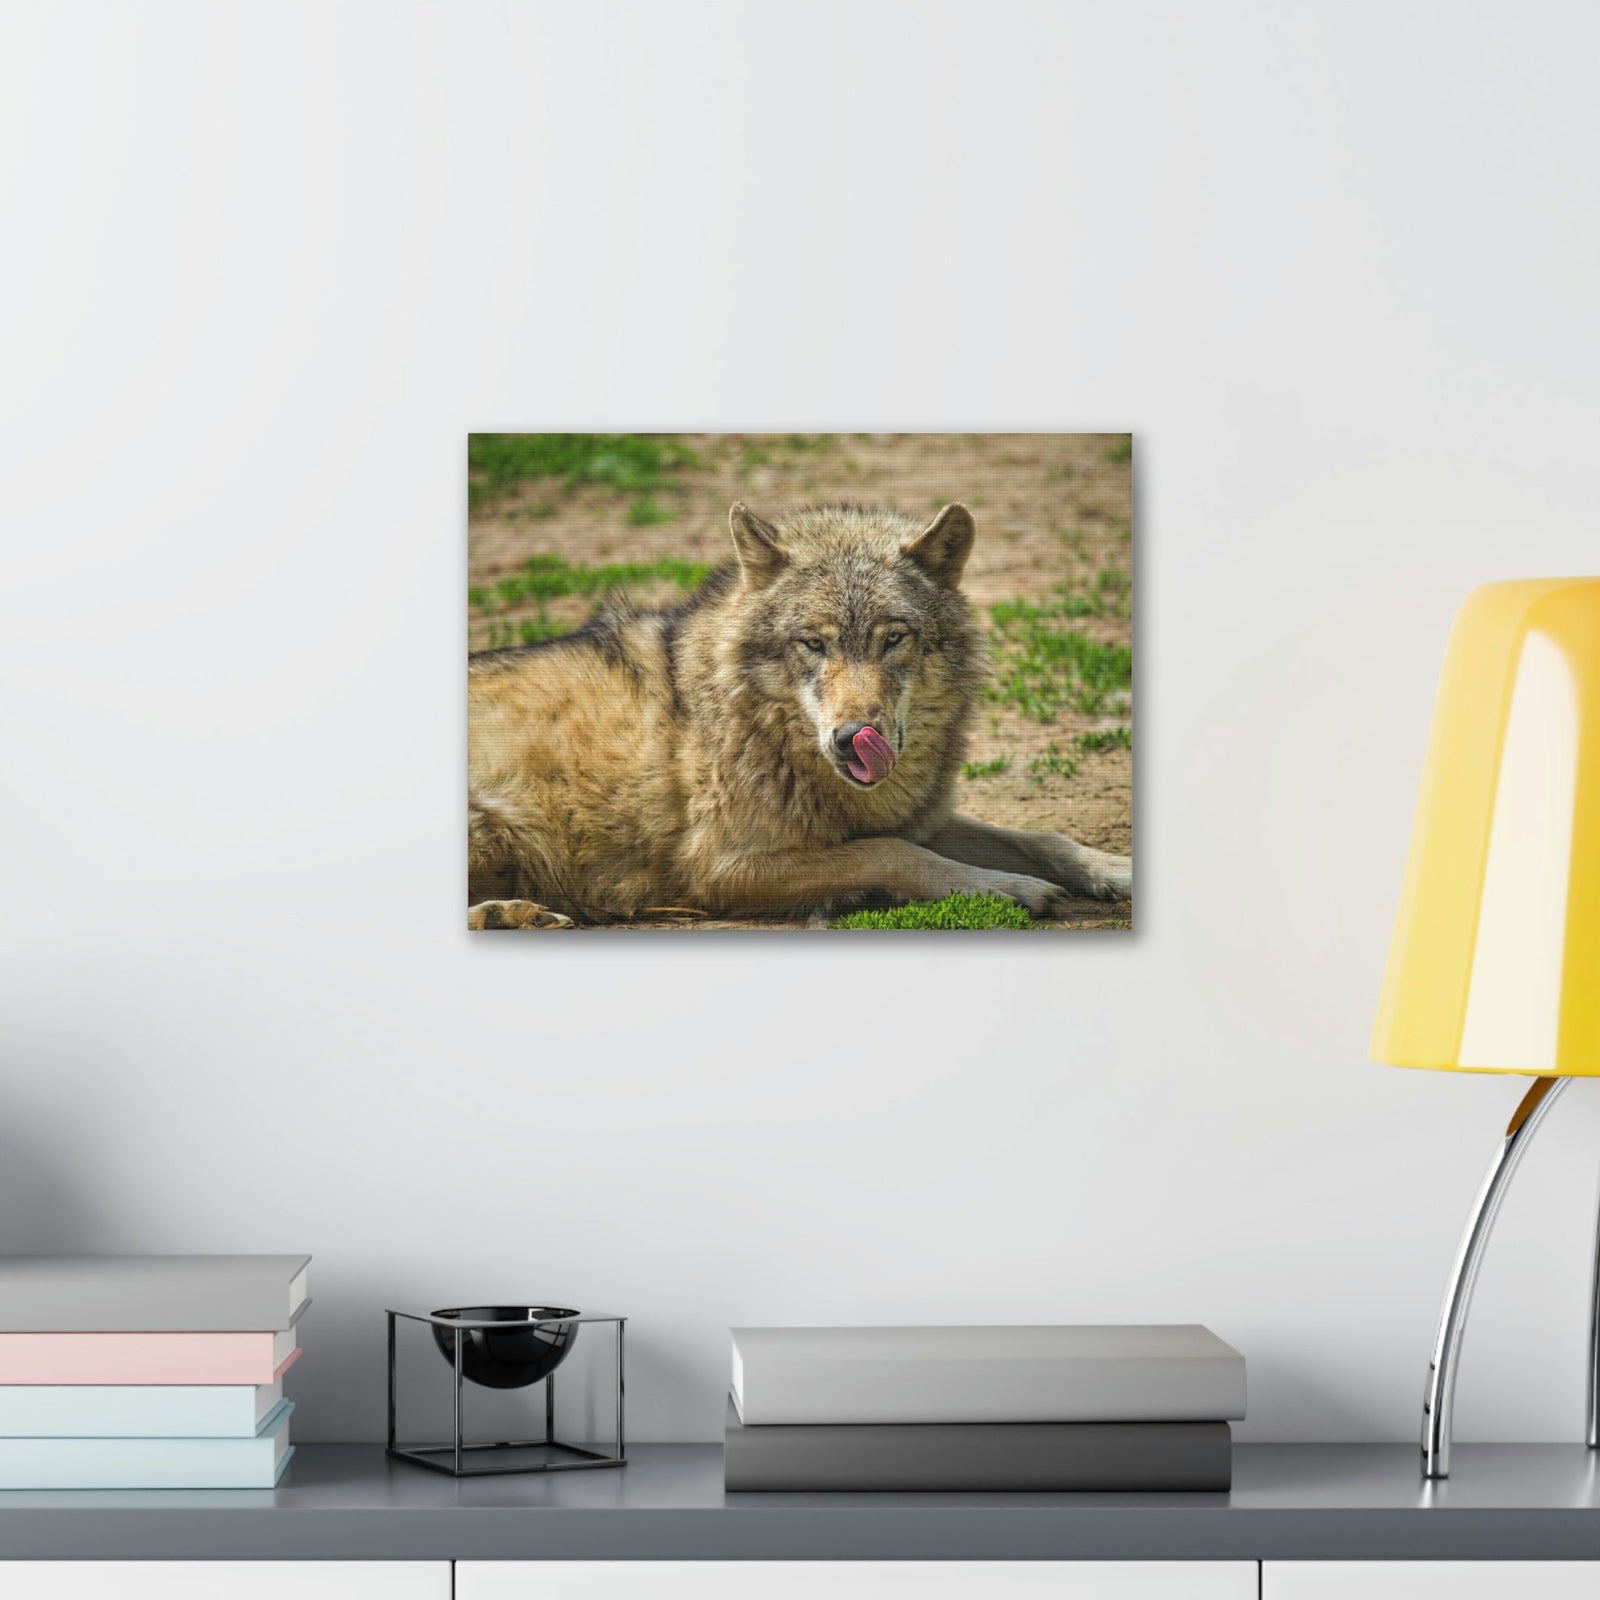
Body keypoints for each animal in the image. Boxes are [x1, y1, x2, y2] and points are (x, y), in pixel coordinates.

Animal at [468, 501, 1132, 926]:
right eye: (814, 643)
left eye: (894, 639)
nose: (852, 738)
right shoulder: (719, 869)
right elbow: (893, 854)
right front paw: (1008, 890)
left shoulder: (919, 817)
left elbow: (1043, 838)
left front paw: (1115, 870)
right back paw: (505, 914)